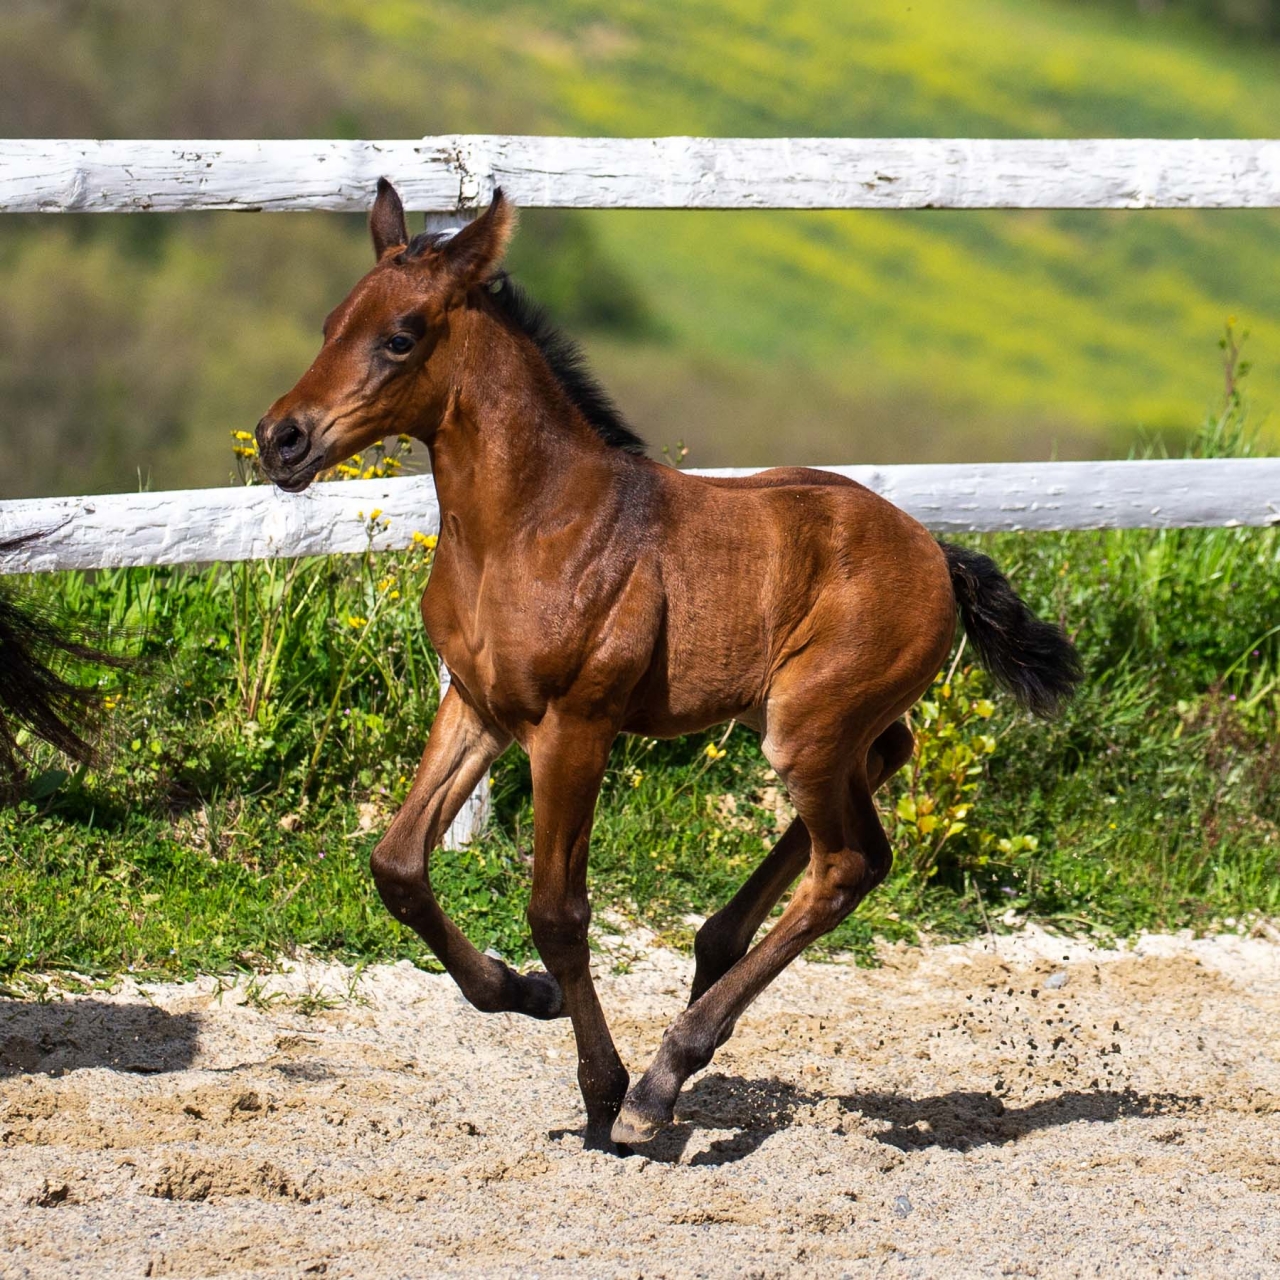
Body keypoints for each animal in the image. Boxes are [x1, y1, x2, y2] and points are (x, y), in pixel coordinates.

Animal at [255, 180, 1081, 1153]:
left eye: (402, 335)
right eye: (330, 323)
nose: (281, 440)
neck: (530, 523)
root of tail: (938, 555)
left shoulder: (575, 725)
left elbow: (558, 911)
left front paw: (603, 1092)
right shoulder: (478, 706)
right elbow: (398, 866)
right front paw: (524, 992)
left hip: (805, 730)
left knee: (849, 864)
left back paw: (661, 1081)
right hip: (805, 718)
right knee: (883, 776)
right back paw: (706, 975)